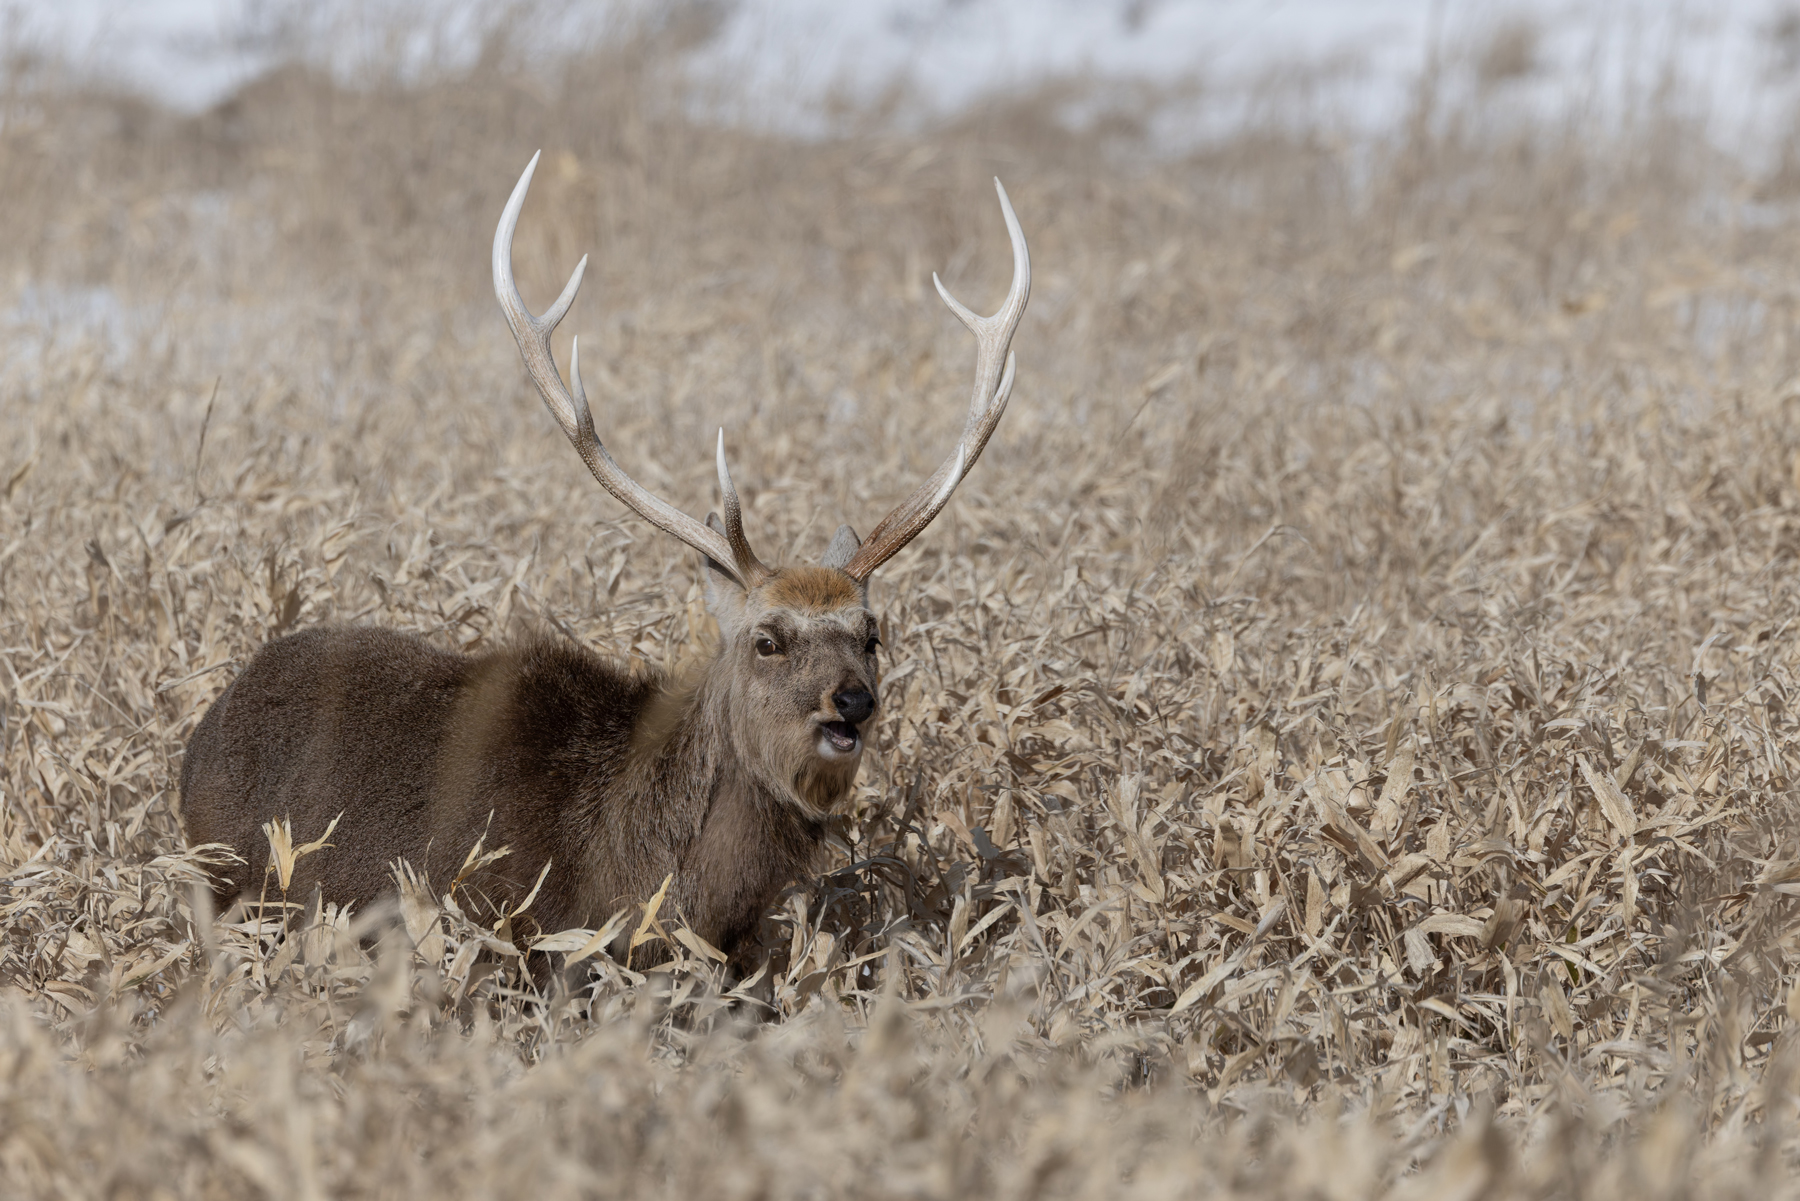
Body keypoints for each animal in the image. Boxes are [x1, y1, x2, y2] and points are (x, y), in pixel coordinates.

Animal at [178, 153, 1030, 972]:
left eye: (872, 632)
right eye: (768, 638)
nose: (851, 700)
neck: (644, 874)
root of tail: (202, 734)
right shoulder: (510, 934)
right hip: (235, 889)